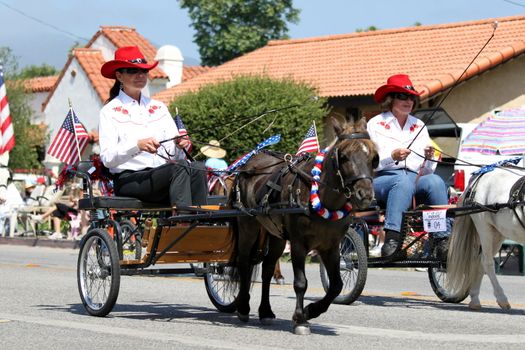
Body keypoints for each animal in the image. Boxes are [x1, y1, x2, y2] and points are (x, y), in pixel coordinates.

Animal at [231, 117, 374, 334]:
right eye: (344, 156)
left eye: (373, 156)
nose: (365, 194)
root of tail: (248, 164)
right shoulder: (299, 243)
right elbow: (300, 283)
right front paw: (300, 319)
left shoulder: (331, 246)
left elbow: (336, 286)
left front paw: (310, 311)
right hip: (248, 226)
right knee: (244, 263)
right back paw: (243, 307)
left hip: (276, 236)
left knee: (267, 268)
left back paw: (265, 311)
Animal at [446, 165, 524, 310]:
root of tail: (481, 174)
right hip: (484, 228)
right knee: (486, 262)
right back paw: (501, 298)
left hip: (497, 234)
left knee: (479, 261)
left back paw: (475, 299)